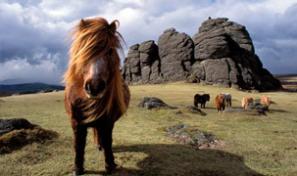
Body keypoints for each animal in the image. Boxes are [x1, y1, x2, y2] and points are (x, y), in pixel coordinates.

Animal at [63, 17, 130, 175]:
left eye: (110, 51)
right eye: (83, 50)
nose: (94, 87)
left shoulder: (107, 122)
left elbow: (108, 141)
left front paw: (110, 165)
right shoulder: (76, 123)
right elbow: (78, 145)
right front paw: (78, 168)